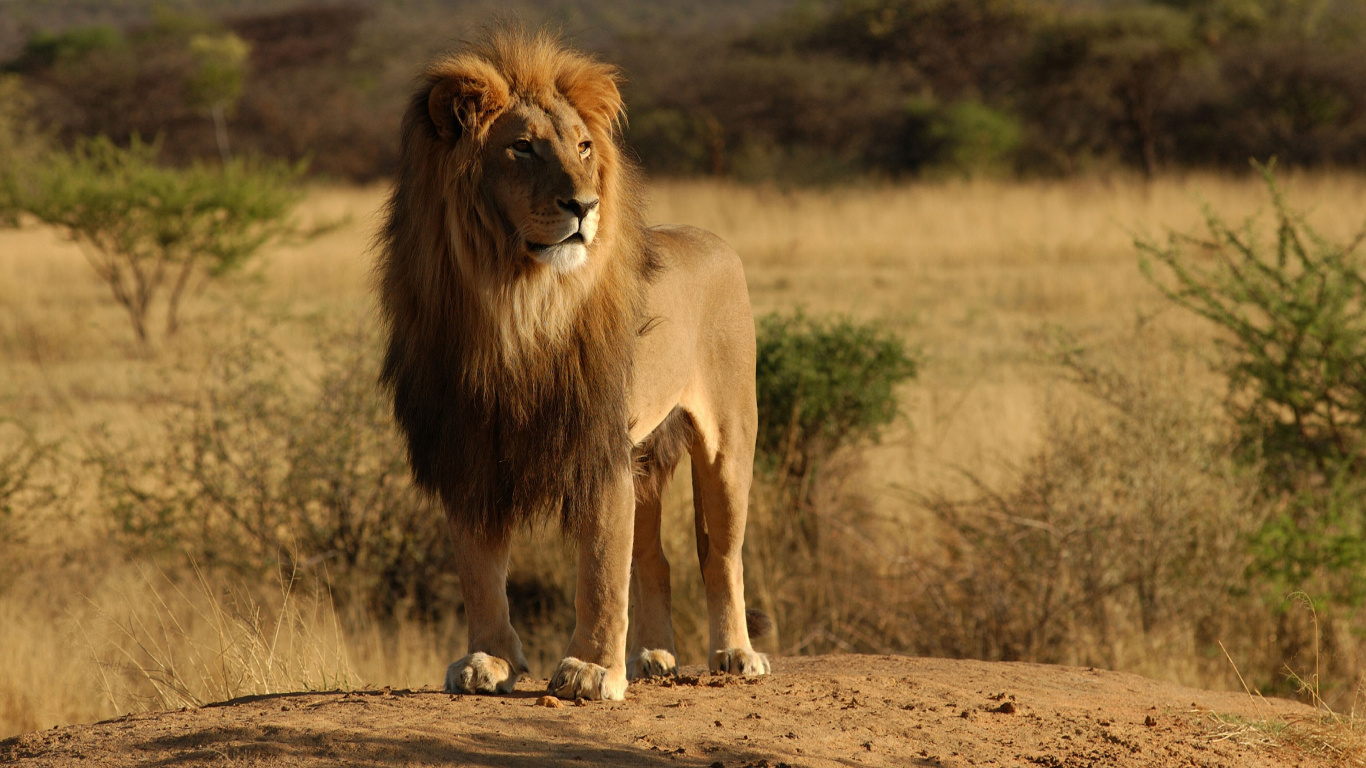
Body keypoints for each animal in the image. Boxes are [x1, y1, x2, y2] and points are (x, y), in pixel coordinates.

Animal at [376, 28, 769, 701]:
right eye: (523, 148)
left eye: (584, 147)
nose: (584, 205)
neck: (516, 302)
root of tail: (714, 240)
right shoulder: (468, 447)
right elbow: (480, 570)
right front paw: (489, 661)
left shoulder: (597, 443)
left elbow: (601, 569)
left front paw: (590, 670)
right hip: (646, 456)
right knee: (655, 558)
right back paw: (653, 657)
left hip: (728, 441)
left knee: (720, 554)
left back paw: (735, 654)